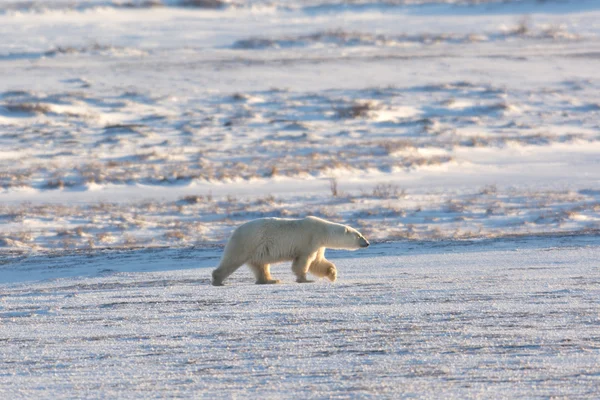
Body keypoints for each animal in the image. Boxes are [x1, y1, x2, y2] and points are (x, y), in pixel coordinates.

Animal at [211, 217, 370, 286]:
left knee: (260, 265)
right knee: (233, 260)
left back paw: (271, 280)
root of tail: (235, 231)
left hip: (256, 249)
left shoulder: (318, 245)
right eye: (359, 235)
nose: (367, 243)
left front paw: (332, 274)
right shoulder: (310, 239)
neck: (323, 230)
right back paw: (218, 280)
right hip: (247, 243)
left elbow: (318, 262)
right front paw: (305, 279)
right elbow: (304, 261)